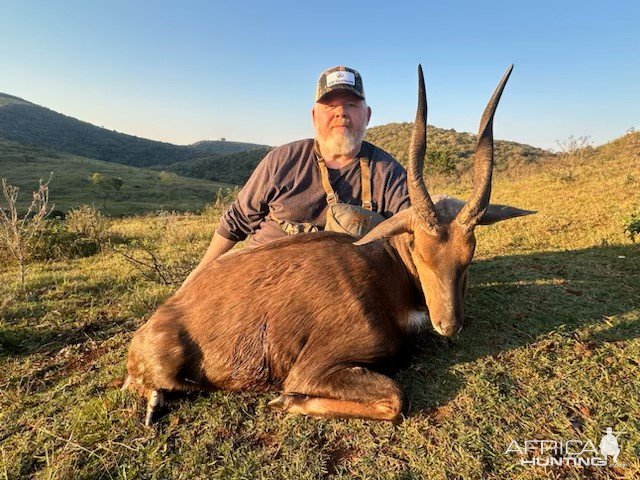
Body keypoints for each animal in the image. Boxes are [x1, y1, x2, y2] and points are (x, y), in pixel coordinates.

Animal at [122, 63, 532, 424]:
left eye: (468, 257)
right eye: (420, 252)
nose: (449, 325)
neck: (386, 273)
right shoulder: (314, 369)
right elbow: (394, 399)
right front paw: (285, 400)